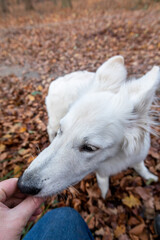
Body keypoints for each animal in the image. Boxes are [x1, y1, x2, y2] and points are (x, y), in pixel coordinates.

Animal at [17, 55, 159, 198]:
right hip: (55, 119)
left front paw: (148, 176)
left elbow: (140, 166)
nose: (22, 186)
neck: (115, 158)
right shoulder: (101, 170)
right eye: (61, 131)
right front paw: (104, 194)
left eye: (89, 148)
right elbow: (103, 180)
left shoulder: (138, 156)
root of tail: (61, 79)